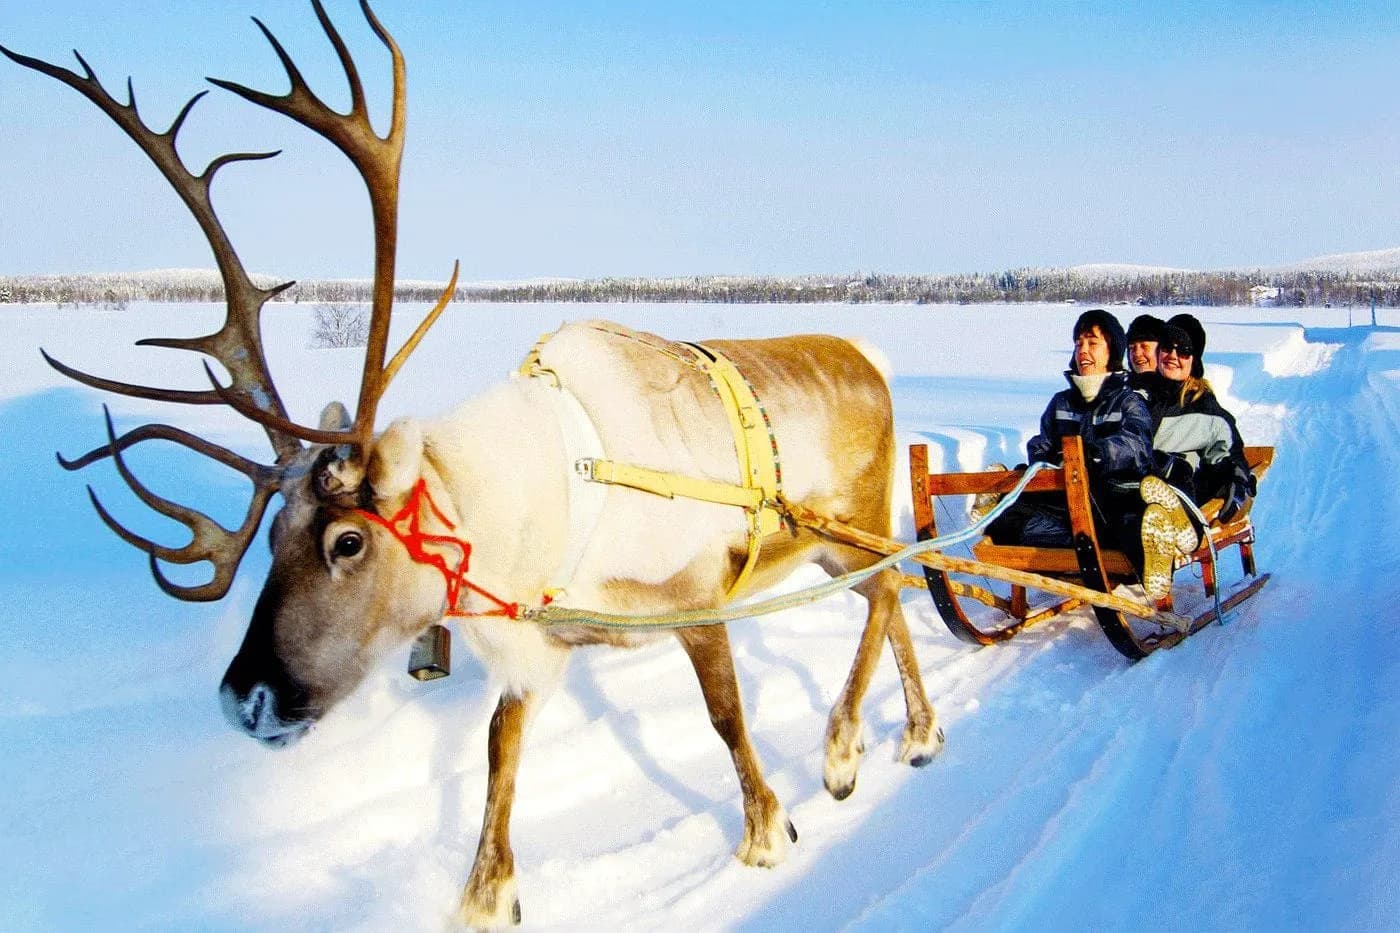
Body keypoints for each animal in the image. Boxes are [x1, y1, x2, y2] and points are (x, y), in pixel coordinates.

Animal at [3, 2, 943, 926]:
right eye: (270, 535)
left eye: (348, 541)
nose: (247, 699)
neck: (547, 504)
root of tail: (869, 356)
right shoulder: (541, 642)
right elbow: (500, 746)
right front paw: (486, 891)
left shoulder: (693, 596)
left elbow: (724, 714)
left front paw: (766, 828)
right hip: (828, 545)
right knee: (895, 591)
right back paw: (920, 731)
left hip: (850, 524)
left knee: (892, 585)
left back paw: (844, 748)